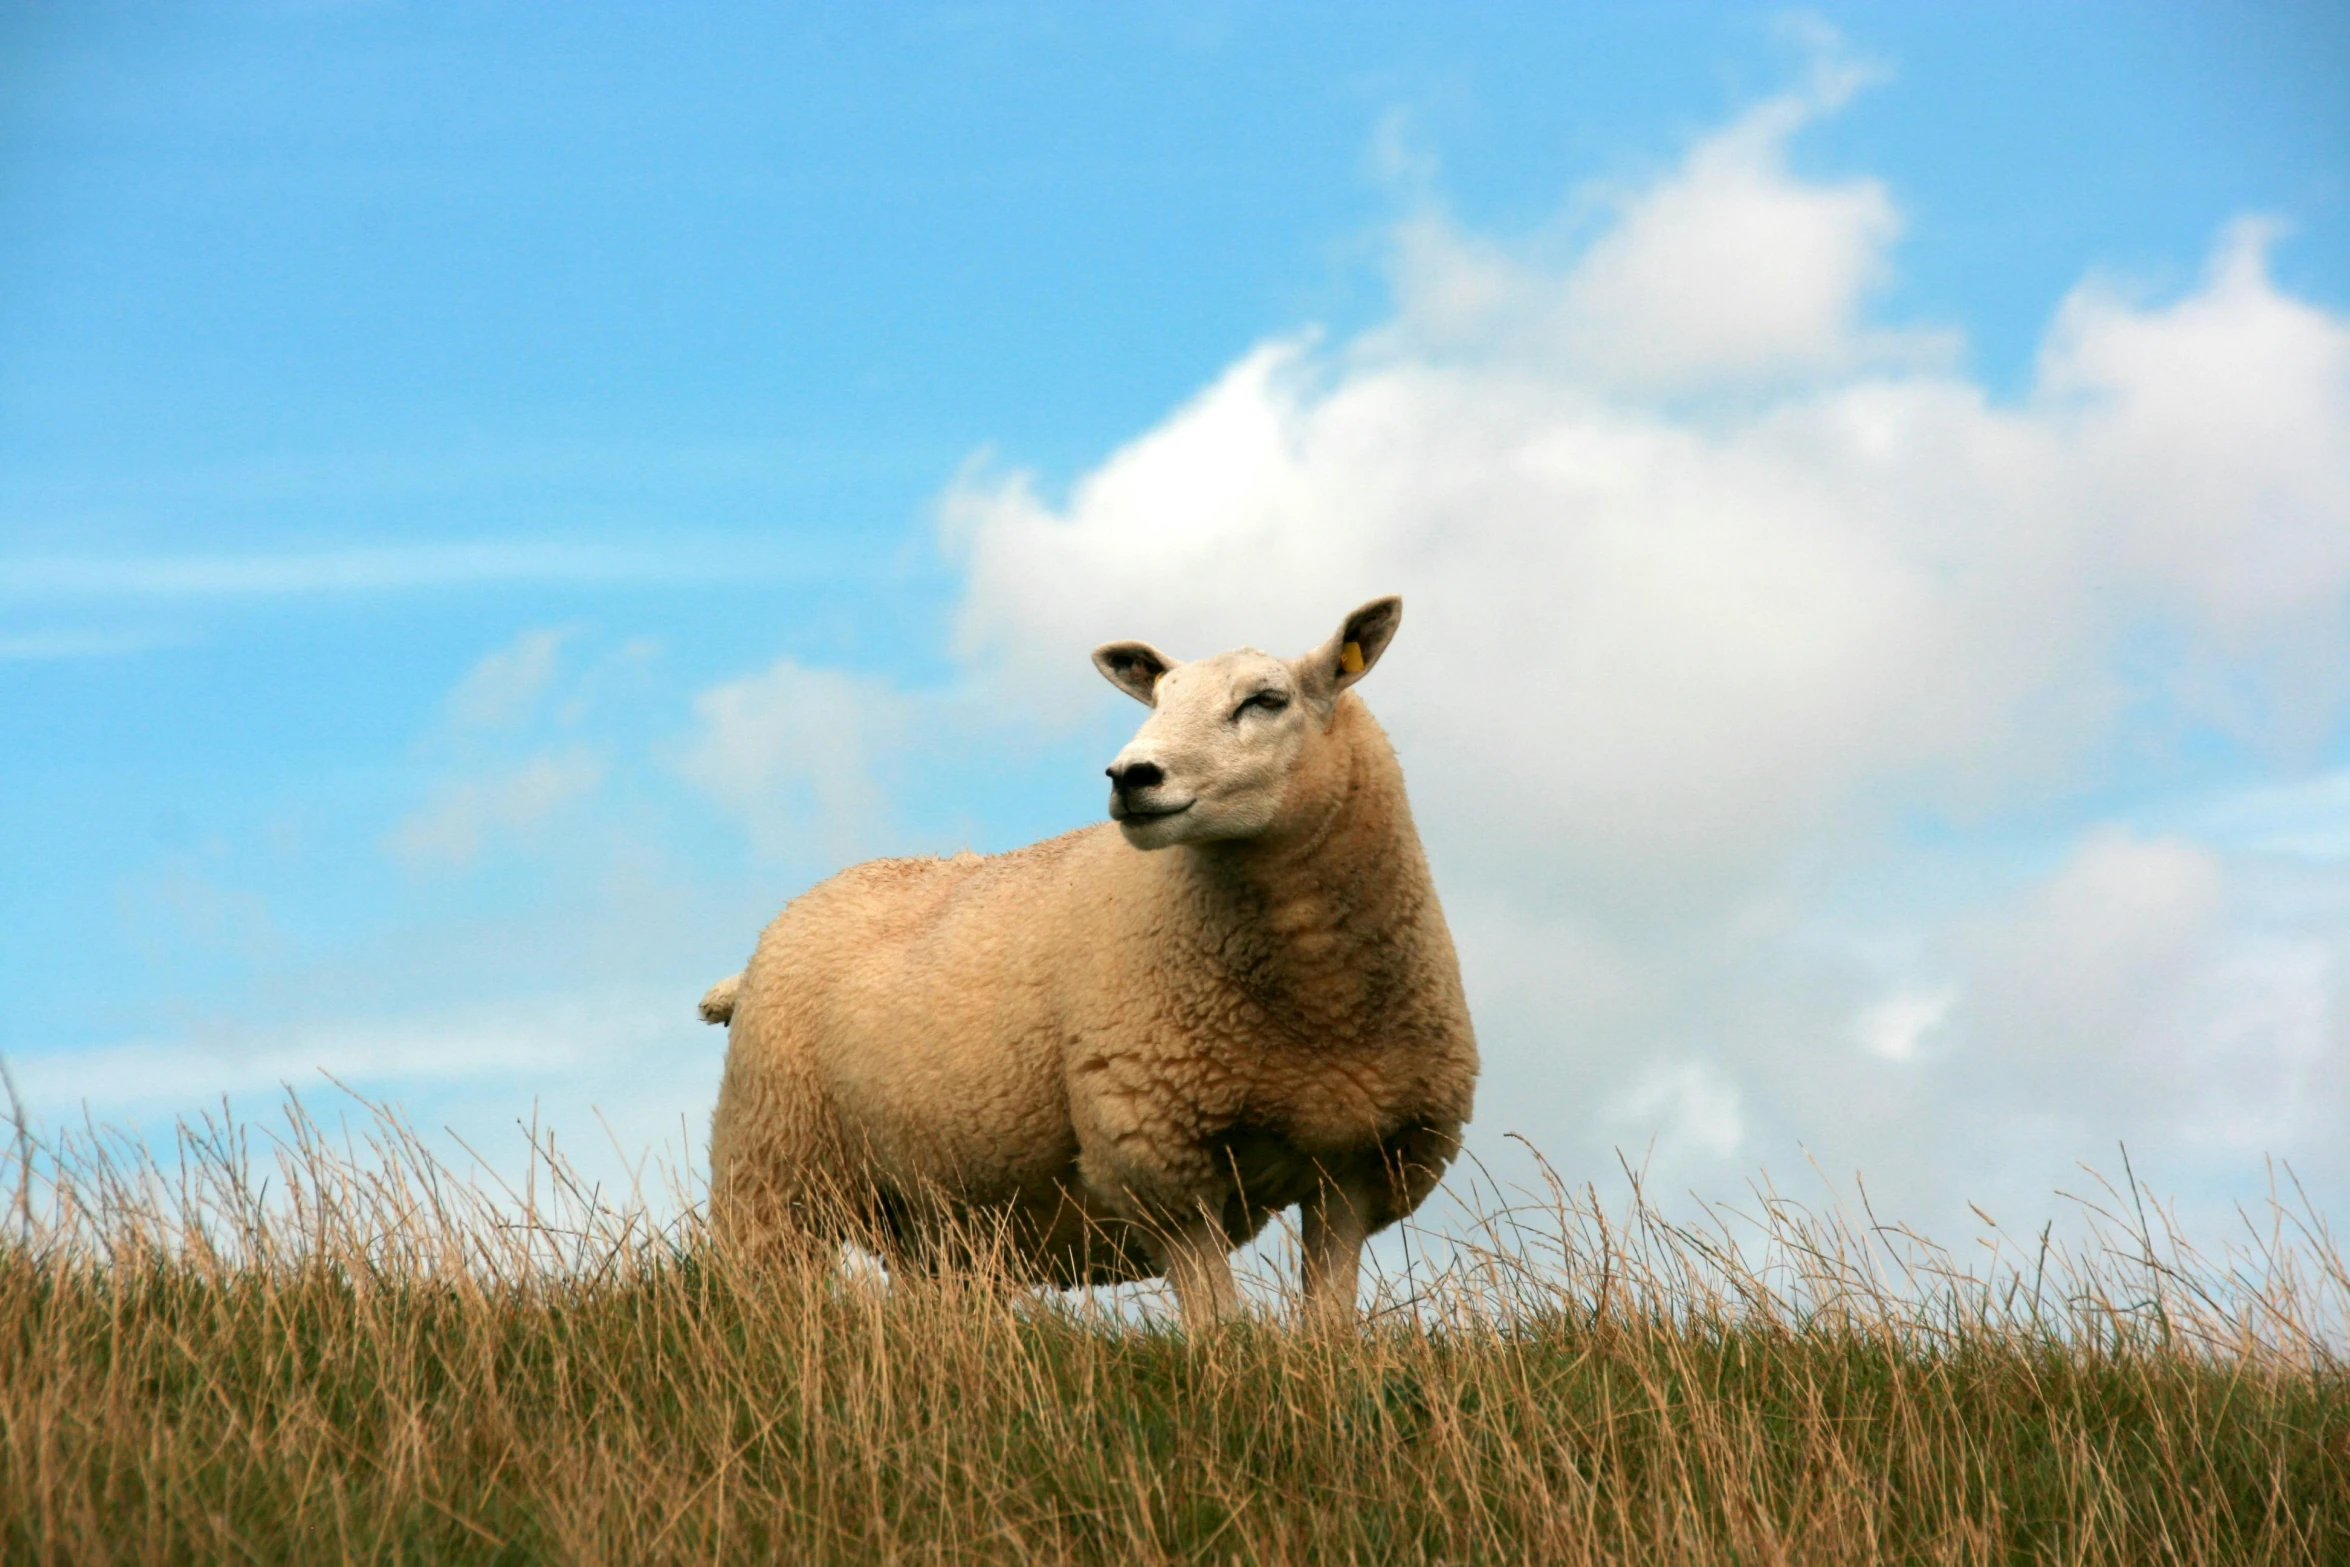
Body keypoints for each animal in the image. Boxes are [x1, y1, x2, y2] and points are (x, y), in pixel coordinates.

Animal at [690, 594, 1485, 1334]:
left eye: (1267, 700)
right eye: (1158, 701)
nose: (1131, 775)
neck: (1315, 1007)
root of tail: (778, 923)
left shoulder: (1360, 1160)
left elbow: (1328, 1318)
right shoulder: (1155, 1152)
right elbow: (1217, 1322)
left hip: (931, 1212)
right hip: (771, 1164)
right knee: (759, 1285)